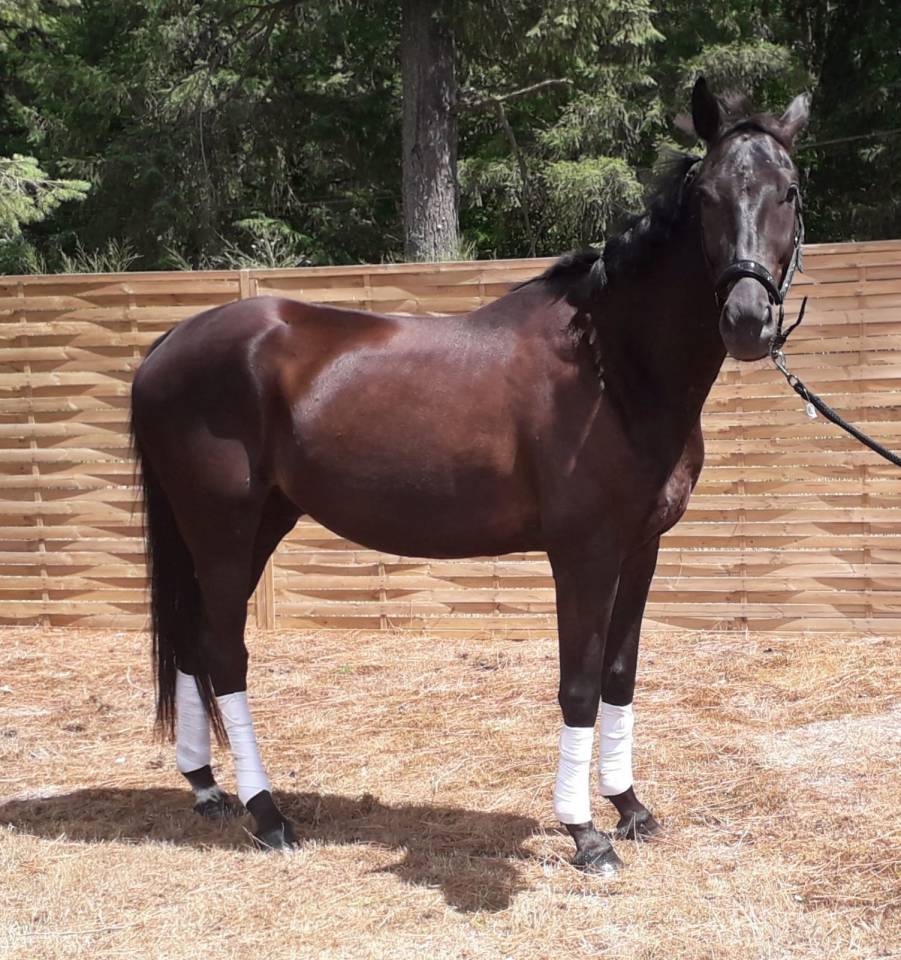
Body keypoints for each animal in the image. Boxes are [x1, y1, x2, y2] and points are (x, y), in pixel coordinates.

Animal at [130, 78, 809, 873]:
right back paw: (267, 815)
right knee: (223, 654)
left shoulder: (641, 549)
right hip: (223, 530)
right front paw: (585, 833)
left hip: (250, 524)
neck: (610, 367)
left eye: (788, 191)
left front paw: (630, 807)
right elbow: (579, 686)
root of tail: (170, 343)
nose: (746, 320)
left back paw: (206, 787)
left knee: (193, 642)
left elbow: (618, 676)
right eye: (704, 196)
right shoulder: (583, 554)